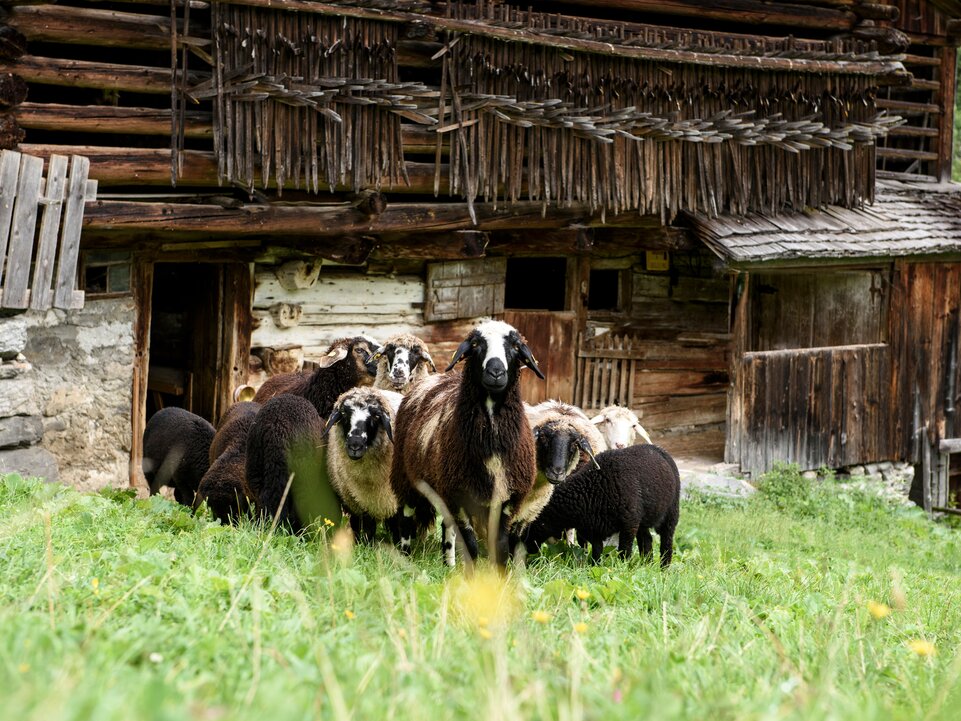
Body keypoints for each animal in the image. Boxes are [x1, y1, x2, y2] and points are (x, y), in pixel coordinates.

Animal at [324, 388, 404, 540]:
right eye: (344, 414)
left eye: (376, 416)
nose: (355, 445)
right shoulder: (359, 502)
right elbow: (367, 528)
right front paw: (364, 543)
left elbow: (400, 529)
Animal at [388, 318, 540, 564]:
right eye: (476, 344)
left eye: (516, 346)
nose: (496, 372)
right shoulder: (459, 496)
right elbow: (471, 547)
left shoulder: (505, 501)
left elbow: (500, 547)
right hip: (406, 476)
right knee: (406, 519)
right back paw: (405, 557)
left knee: (447, 527)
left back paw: (448, 565)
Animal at [512, 442, 680, 564]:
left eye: (532, 523)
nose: (524, 551)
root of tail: (658, 449)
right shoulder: (593, 529)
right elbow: (597, 552)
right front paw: (595, 566)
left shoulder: (629, 523)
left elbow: (624, 550)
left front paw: (623, 567)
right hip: (643, 519)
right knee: (647, 540)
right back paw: (647, 564)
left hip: (671, 513)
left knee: (666, 541)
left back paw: (664, 567)